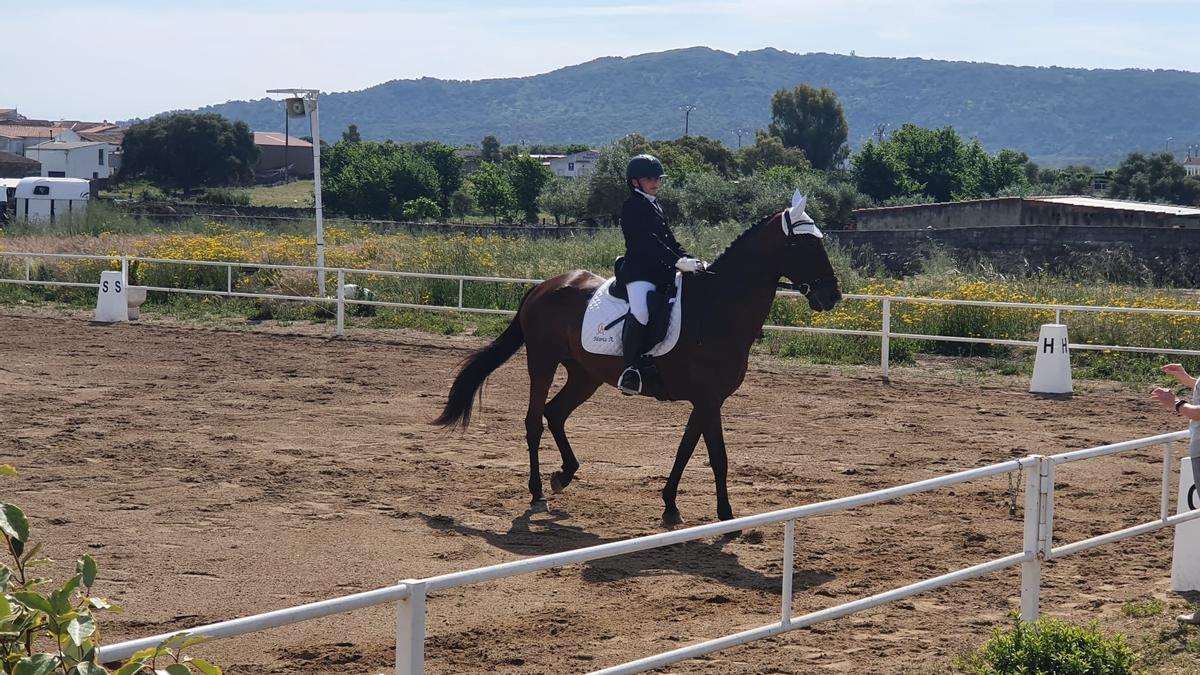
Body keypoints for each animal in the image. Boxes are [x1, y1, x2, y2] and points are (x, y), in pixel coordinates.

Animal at [434, 195, 844, 526]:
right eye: (804, 244)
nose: (832, 296)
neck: (717, 308)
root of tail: (543, 287)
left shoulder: (706, 400)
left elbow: (685, 450)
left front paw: (671, 506)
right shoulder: (709, 399)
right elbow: (718, 456)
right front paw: (726, 518)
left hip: (585, 373)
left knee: (556, 413)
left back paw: (564, 475)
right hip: (543, 361)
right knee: (534, 420)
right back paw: (536, 492)